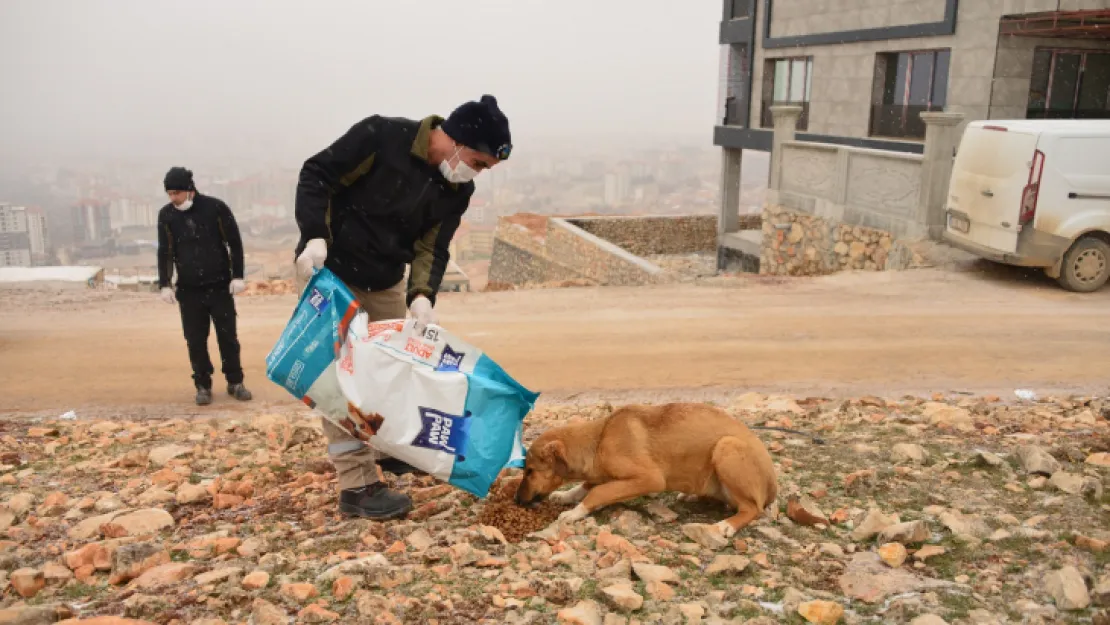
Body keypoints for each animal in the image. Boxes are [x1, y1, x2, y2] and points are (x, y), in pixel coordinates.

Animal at [515, 404, 777, 539]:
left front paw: (574, 512)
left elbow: (598, 492)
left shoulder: (649, 478)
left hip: (727, 447)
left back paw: (726, 525)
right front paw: (566, 495)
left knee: (751, 508)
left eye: (529, 471)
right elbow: (587, 485)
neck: (598, 440)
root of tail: (772, 485)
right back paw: (690, 495)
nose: (516, 501)